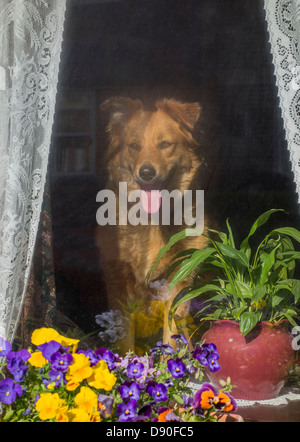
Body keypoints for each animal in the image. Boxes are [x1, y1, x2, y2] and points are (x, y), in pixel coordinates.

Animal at [96, 96, 211, 352]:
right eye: (134, 146)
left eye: (166, 144)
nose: (147, 172)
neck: (152, 219)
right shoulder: (119, 280)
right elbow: (125, 335)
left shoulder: (179, 277)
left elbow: (173, 332)